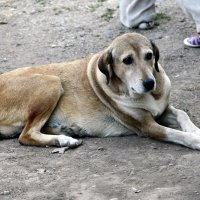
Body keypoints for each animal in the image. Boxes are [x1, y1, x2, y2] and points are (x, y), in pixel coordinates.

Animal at [0, 32, 200, 151]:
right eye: (127, 60)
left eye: (149, 56)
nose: (150, 83)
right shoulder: (147, 126)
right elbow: (176, 134)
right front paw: (196, 140)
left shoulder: (163, 110)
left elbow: (182, 114)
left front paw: (194, 130)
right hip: (52, 82)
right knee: (25, 135)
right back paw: (64, 140)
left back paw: (69, 131)